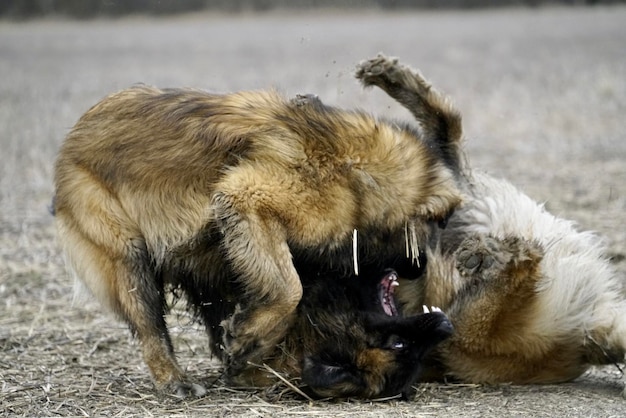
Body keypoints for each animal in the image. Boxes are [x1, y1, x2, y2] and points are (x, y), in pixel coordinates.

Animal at [53, 54, 460, 396]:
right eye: (429, 230)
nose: (420, 268)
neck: (358, 175)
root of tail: (73, 136)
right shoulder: (248, 198)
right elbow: (288, 287)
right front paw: (249, 338)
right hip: (126, 253)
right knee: (150, 325)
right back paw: (174, 379)